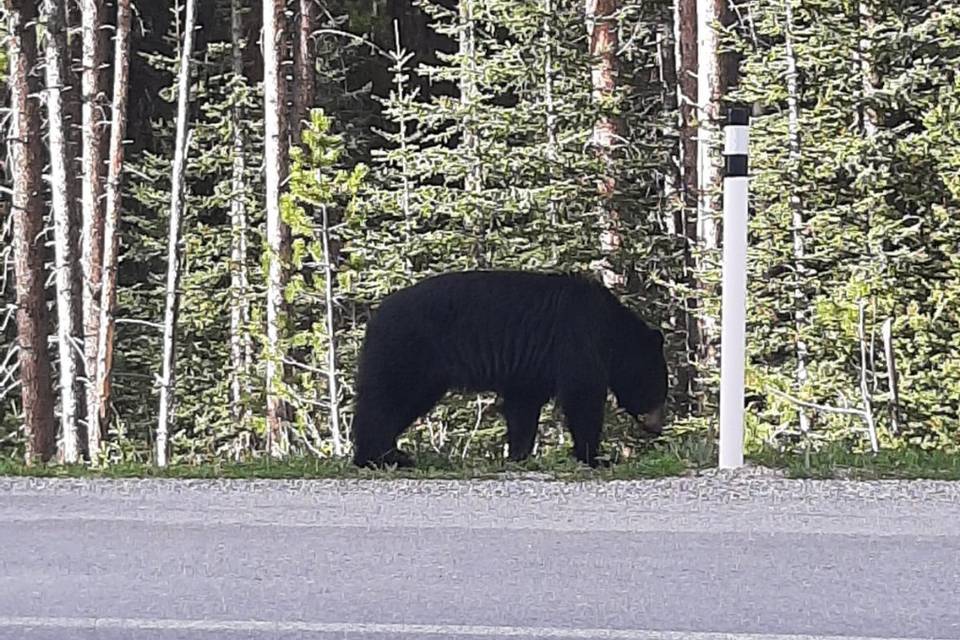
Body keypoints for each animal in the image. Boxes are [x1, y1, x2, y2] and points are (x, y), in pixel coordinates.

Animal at [346, 268, 668, 468]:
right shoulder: (577, 338)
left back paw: (390, 454)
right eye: (660, 389)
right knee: (387, 400)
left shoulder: (530, 369)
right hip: (409, 351)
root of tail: (375, 317)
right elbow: (582, 395)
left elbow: (523, 406)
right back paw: (379, 457)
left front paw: (518, 455)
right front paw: (595, 456)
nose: (657, 426)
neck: (611, 332)